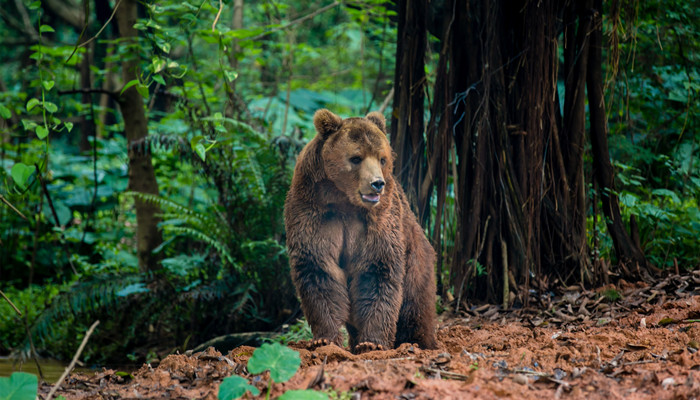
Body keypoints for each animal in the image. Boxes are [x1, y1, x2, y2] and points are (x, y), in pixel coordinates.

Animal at [284, 109, 438, 354]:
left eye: (382, 158)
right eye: (356, 158)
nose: (377, 183)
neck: (343, 199)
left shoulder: (378, 219)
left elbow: (377, 270)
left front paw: (372, 342)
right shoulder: (313, 210)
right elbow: (318, 269)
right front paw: (324, 339)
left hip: (416, 258)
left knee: (415, 304)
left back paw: (417, 341)